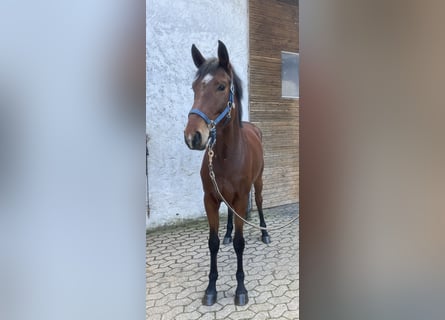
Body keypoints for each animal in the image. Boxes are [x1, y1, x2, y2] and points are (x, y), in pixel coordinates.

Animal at [182, 41, 268, 306]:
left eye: (221, 86)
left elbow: (240, 244)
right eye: (194, 87)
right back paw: (229, 232)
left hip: (258, 182)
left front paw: (240, 289)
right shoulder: (209, 199)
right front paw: (211, 288)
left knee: (259, 202)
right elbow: (213, 243)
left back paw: (265, 233)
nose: (193, 136)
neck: (226, 156)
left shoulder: (241, 199)